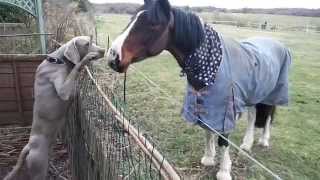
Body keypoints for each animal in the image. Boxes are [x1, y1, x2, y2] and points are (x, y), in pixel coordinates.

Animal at [4, 36, 105, 180]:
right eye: (87, 44)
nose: (103, 50)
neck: (58, 61)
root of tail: (29, 147)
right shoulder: (63, 90)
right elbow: (76, 70)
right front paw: (86, 60)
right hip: (38, 167)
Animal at [106, 0, 292, 179]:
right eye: (132, 19)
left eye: (153, 24)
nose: (112, 57)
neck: (211, 65)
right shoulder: (205, 105)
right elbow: (208, 131)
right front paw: (209, 158)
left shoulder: (225, 110)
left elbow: (223, 140)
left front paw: (224, 171)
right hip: (256, 94)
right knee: (253, 116)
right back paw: (246, 144)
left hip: (271, 94)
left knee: (269, 116)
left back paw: (264, 140)